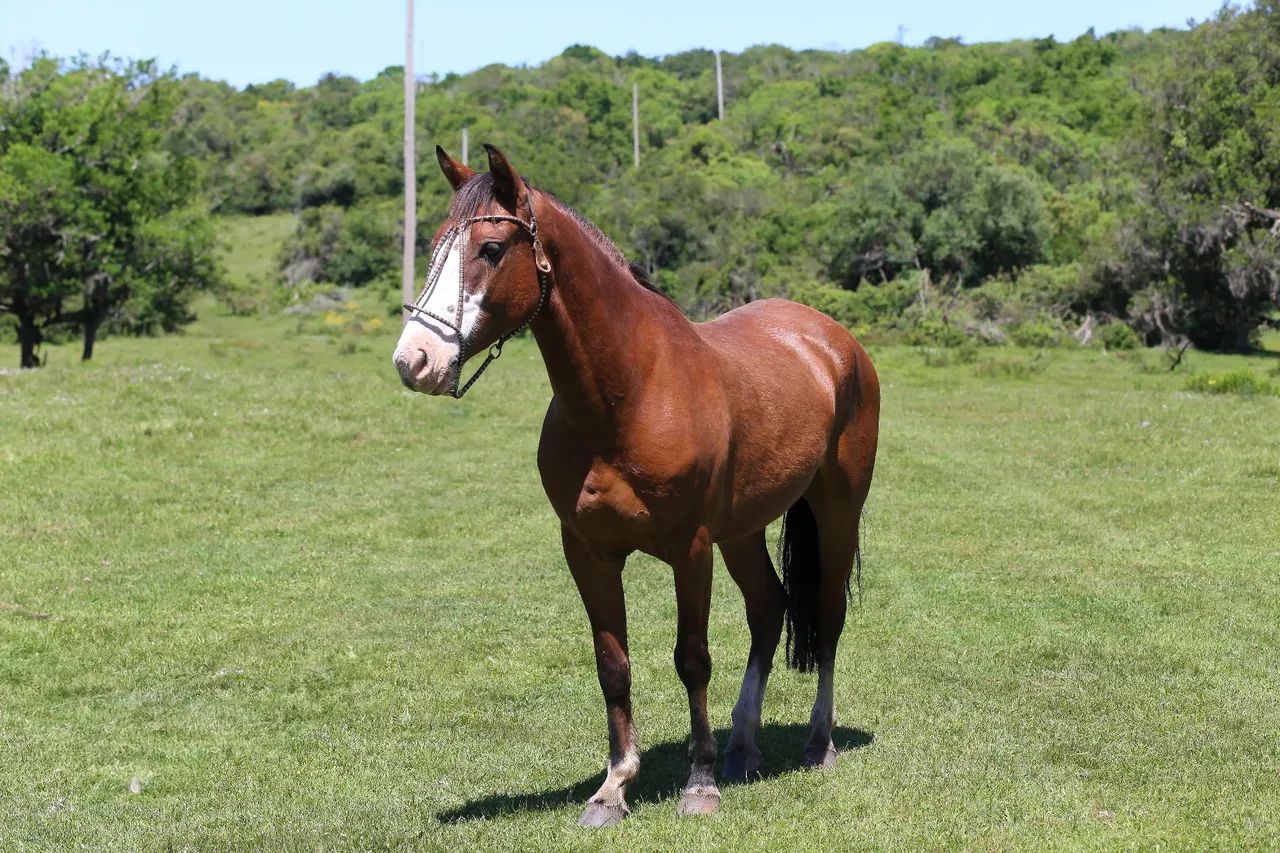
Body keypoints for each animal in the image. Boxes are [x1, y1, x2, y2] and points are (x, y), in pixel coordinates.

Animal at [393, 144, 880, 827]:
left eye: (489, 248)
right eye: (437, 244)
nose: (414, 361)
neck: (628, 394)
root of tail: (830, 340)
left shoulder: (691, 549)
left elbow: (692, 659)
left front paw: (698, 784)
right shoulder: (588, 552)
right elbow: (613, 665)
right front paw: (613, 788)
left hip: (836, 511)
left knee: (827, 617)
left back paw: (817, 744)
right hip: (744, 530)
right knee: (769, 610)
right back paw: (743, 748)